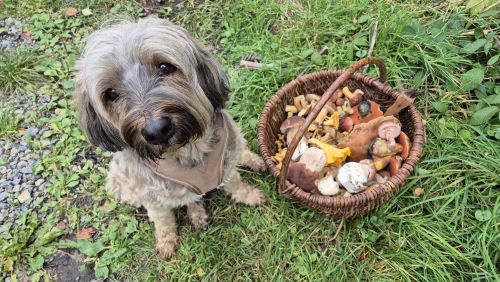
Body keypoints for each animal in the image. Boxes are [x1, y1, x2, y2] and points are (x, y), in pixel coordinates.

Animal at [73, 18, 266, 260]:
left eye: (164, 67)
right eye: (111, 94)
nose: (156, 131)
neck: (186, 151)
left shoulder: (227, 163)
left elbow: (236, 184)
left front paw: (249, 195)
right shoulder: (152, 198)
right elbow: (163, 220)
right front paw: (166, 242)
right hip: (120, 183)